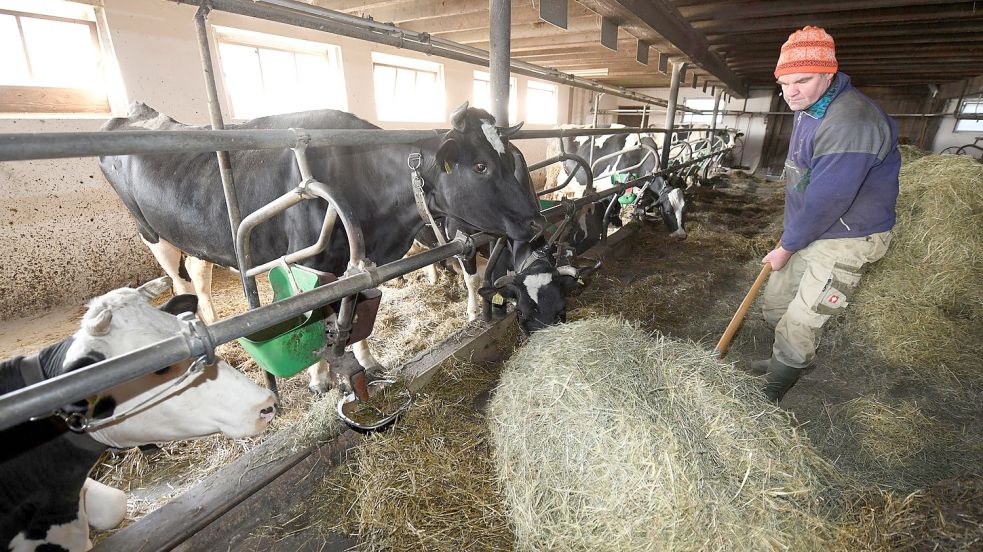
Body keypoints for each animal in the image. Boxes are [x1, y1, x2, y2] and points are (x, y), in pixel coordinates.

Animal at [98, 100, 544, 392]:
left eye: (511, 159)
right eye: (481, 165)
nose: (538, 222)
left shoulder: (363, 259)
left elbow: (358, 311)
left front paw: (367, 361)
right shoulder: (314, 262)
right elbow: (320, 315)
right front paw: (319, 377)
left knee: (198, 272)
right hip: (151, 233)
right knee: (180, 283)